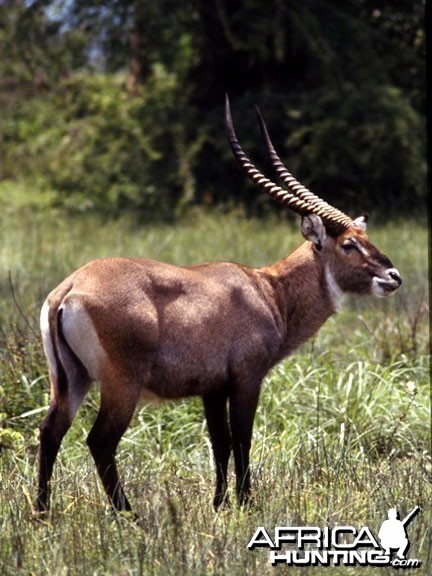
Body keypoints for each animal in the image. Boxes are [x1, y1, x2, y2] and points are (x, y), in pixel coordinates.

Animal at [36, 97, 402, 516]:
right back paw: (128, 513)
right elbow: (242, 437)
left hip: (71, 380)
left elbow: (220, 444)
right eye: (349, 244)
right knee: (100, 441)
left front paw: (220, 503)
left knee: (50, 431)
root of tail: (71, 288)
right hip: (121, 385)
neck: (268, 288)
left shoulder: (211, 390)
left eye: (364, 237)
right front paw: (246, 503)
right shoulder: (247, 378)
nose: (393, 276)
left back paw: (43, 512)